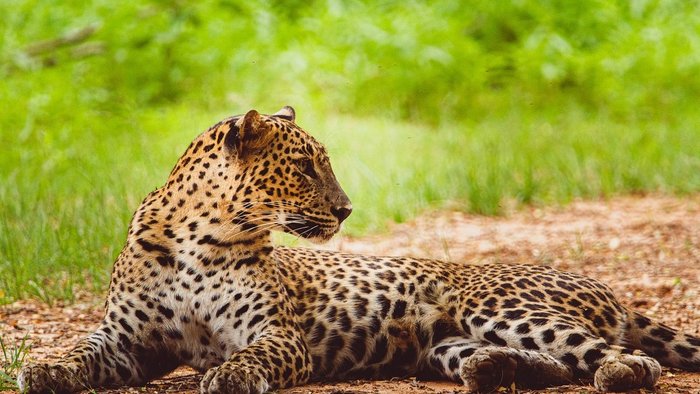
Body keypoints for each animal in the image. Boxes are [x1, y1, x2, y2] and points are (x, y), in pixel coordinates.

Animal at [17, 106, 700, 392]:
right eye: (305, 167)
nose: (347, 209)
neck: (197, 236)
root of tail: (611, 291)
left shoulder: (275, 334)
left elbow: (252, 356)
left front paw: (230, 375)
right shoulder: (129, 341)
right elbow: (81, 349)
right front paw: (45, 369)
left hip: (498, 307)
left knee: (625, 357)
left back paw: (618, 374)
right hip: (445, 343)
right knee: (550, 364)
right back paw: (496, 370)